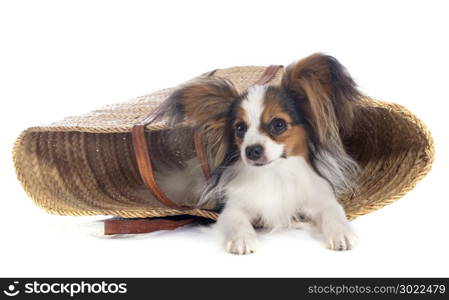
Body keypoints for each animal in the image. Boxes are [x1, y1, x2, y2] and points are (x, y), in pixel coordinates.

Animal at [154, 53, 360, 253]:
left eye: (278, 124)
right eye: (239, 128)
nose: (251, 150)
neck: (274, 172)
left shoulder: (320, 199)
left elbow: (334, 212)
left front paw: (342, 234)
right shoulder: (232, 206)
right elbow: (237, 220)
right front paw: (242, 239)